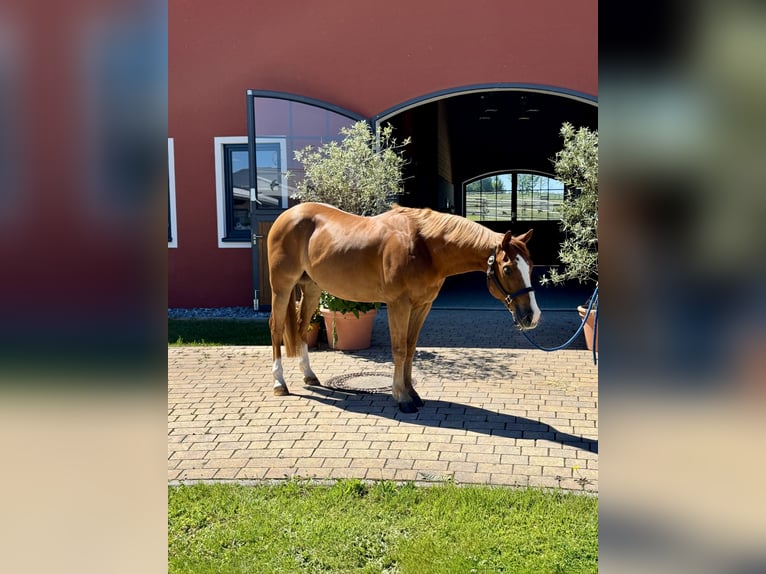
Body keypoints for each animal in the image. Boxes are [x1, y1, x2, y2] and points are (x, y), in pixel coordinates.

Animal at [267, 202, 541, 413]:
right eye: (508, 268)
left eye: (530, 266)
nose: (532, 317)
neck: (423, 247)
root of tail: (286, 216)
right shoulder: (398, 305)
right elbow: (399, 349)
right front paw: (401, 397)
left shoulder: (422, 306)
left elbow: (410, 349)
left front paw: (412, 393)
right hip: (281, 287)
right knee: (276, 328)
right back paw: (279, 384)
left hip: (312, 288)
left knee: (301, 327)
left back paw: (309, 376)